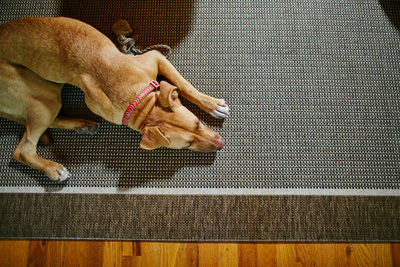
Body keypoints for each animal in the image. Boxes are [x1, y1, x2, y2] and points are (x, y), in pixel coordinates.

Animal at [0, 17, 230, 182]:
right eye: (187, 144)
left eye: (198, 123)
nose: (221, 144)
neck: (138, 102)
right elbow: (182, 85)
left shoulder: (156, 58)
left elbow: (184, 85)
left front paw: (212, 106)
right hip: (43, 97)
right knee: (23, 150)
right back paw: (53, 169)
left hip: (49, 92)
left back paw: (82, 125)